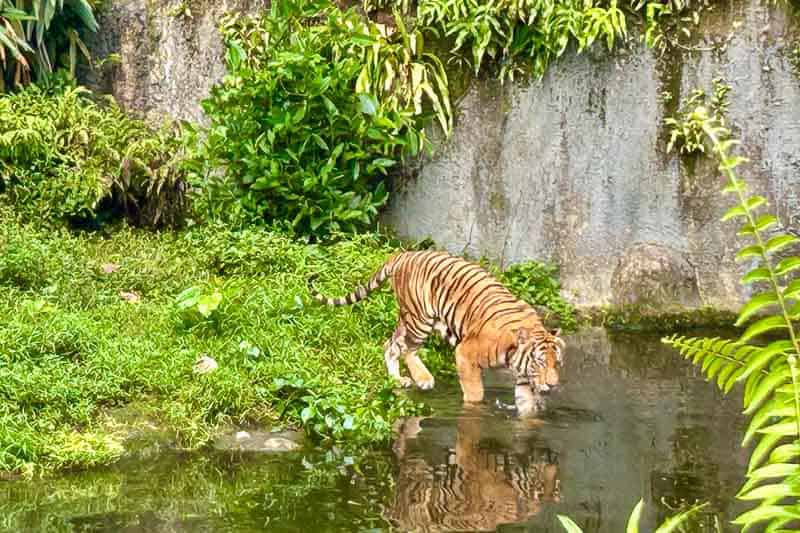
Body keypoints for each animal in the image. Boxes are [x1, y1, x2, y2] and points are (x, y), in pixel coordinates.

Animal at [310, 250, 565, 415]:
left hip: (422, 321)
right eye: (540, 362)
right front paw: (473, 407)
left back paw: (399, 379)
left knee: (390, 344)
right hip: (420, 320)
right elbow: (474, 392)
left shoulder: (524, 378)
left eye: (558, 363)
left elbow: (526, 406)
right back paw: (423, 379)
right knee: (404, 348)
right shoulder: (465, 353)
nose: (553, 385)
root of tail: (403, 255)